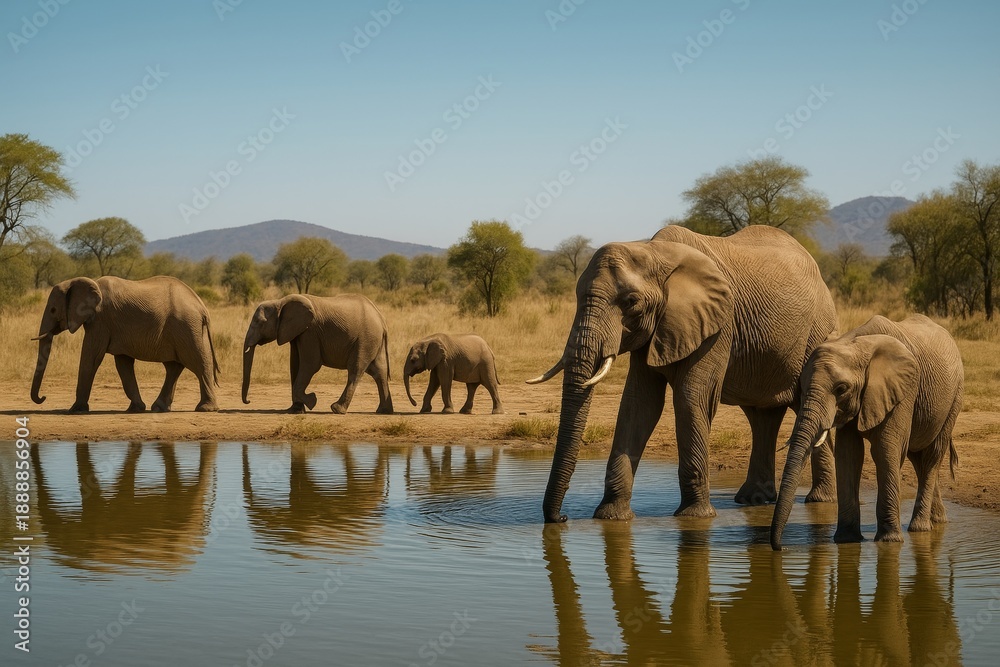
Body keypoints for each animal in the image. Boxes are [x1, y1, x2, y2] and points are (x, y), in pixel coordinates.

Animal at [30, 276, 220, 413]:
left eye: (53, 310)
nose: (43, 398)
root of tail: (202, 306)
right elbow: (123, 364)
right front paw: (136, 409)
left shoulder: (101, 320)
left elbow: (91, 358)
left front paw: (75, 410)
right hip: (182, 329)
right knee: (174, 366)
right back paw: (159, 408)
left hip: (187, 327)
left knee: (198, 363)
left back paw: (205, 409)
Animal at [241, 293, 393, 414]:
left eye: (260, 322)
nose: (248, 401)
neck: (280, 301)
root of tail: (382, 319)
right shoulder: (297, 332)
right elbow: (295, 365)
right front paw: (295, 411)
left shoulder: (310, 332)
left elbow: (310, 364)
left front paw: (312, 401)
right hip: (373, 340)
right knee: (379, 371)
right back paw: (383, 411)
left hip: (365, 339)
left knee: (355, 370)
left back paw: (337, 409)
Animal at [528, 224, 837, 522]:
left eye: (631, 302)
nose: (563, 517)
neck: (654, 252)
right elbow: (639, 404)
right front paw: (611, 516)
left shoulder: (718, 327)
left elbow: (691, 398)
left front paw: (694, 517)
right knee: (761, 416)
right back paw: (753, 500)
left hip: (817, 333)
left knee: (805, 402)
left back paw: (820, 500)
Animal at [771, 315, 964, 547]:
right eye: (801, 386)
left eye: (841, 389)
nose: (780, 547)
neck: (856, 344)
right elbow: (849, 454)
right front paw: (846, 540)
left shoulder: (903, 390)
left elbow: (885, 450)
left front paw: (889, 541)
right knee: (918, 458)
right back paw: (937, 521)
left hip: (954, 398)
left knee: (932, 456)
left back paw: (920, 528)